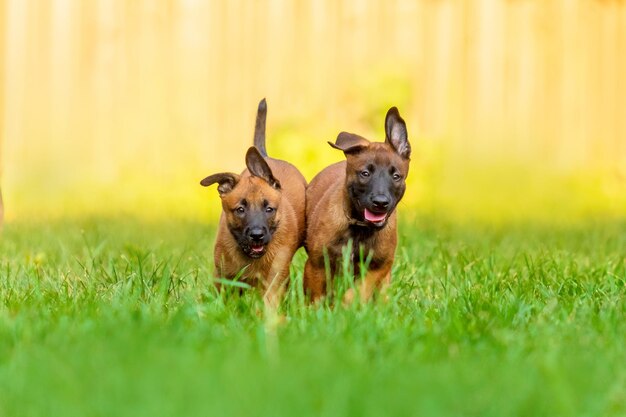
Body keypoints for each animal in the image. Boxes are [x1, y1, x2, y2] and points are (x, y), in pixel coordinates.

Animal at [201, 97, 306, 306]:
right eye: (240, 209)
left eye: (269, 209)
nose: (257, 235)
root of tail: (265, 156)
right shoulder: (222, 277)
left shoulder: (273, 282)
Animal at [302, 107, 410, 302]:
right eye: (365, 173)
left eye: (396, 176)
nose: (380, 202)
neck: (359, 228)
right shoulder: (317, 265)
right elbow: (316, 297)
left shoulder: (376, 268)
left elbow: (355, 294)